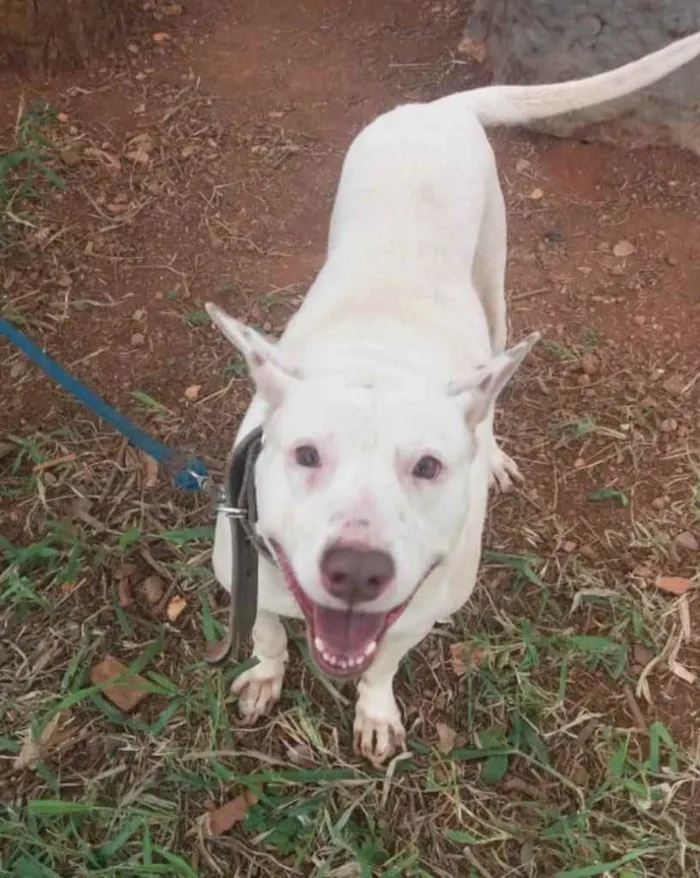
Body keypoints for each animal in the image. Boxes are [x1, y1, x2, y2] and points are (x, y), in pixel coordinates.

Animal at [206, 31, 700, 768]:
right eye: (305, 455)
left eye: (429, 467)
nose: (357, 571)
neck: (375, 356)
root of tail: (435, 108)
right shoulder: (243, 575)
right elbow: (266, 633)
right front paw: (265, 676)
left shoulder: (419, 612)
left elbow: (383, 665)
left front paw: (375, 711)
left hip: (494, 278)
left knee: (491, 387)